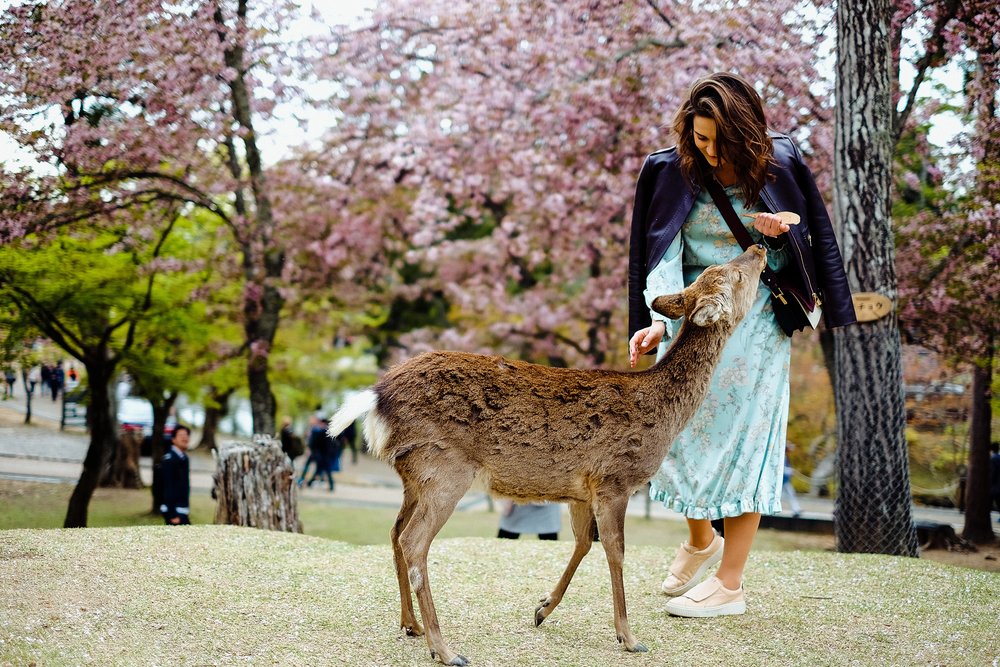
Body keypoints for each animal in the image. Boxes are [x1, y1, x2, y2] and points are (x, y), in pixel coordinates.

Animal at [328, 245, 768, 665]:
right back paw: (446, 649)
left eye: (719, 271)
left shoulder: (580, 489)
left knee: (395, 531)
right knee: (415, 542)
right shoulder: (615, 479)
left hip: (414, 475)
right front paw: (629, 638)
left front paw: (542, 608)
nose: (759, 247)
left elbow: (583, 543)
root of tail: (376, 397)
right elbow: (615, 550)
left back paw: (411, 625)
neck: (665, 415)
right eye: (734, 274)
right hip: (444, 468)